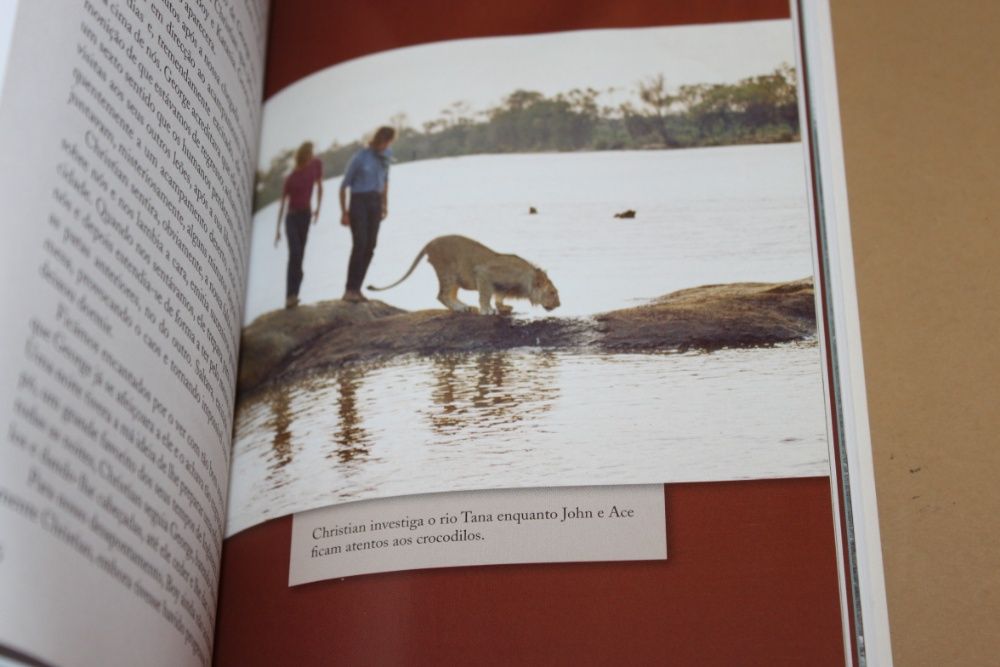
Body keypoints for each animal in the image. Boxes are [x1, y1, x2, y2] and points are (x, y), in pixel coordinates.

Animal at [367, 235, 560, 315]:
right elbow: (485, 295)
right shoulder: (483, 273)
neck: (525, 280)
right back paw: (461, 308)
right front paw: (487, 310)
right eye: (552, 292)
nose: (559, 305)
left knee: (449, 295)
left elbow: (499, 296)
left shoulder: (501, 287)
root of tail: (429, 244)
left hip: (454, 279)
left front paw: (503, 307)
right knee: (441, 295)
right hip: (448, 272)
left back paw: (463, 307)